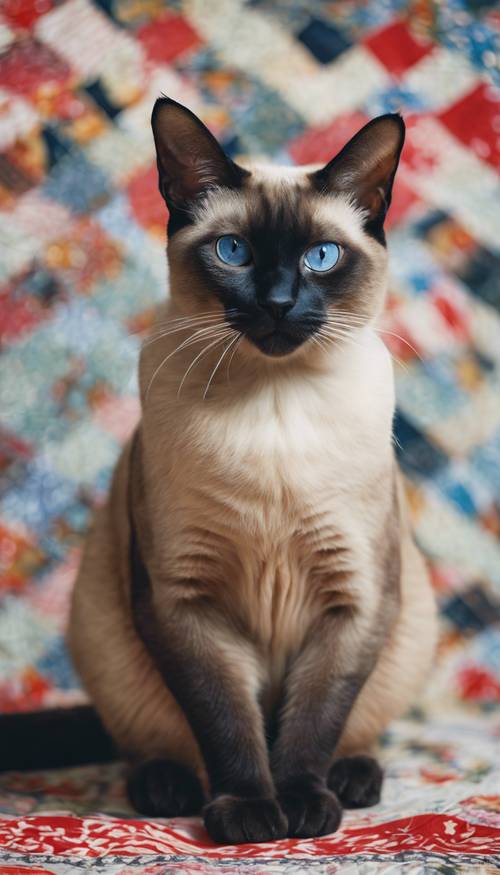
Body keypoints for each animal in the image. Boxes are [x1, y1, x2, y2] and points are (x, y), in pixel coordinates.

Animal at [1, 99, 436, 844]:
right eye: (234, 252)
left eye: (320, 258)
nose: (279, 302)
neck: (274, 404)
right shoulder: (184, 602)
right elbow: (228, 723)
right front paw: (252, 813)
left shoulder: (354, 599)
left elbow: (311, 722)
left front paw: (303, 809)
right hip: (105, 631)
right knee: (152, 744)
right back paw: (165, 787)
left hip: (406, 629)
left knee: (354, 730)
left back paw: (352, 781)